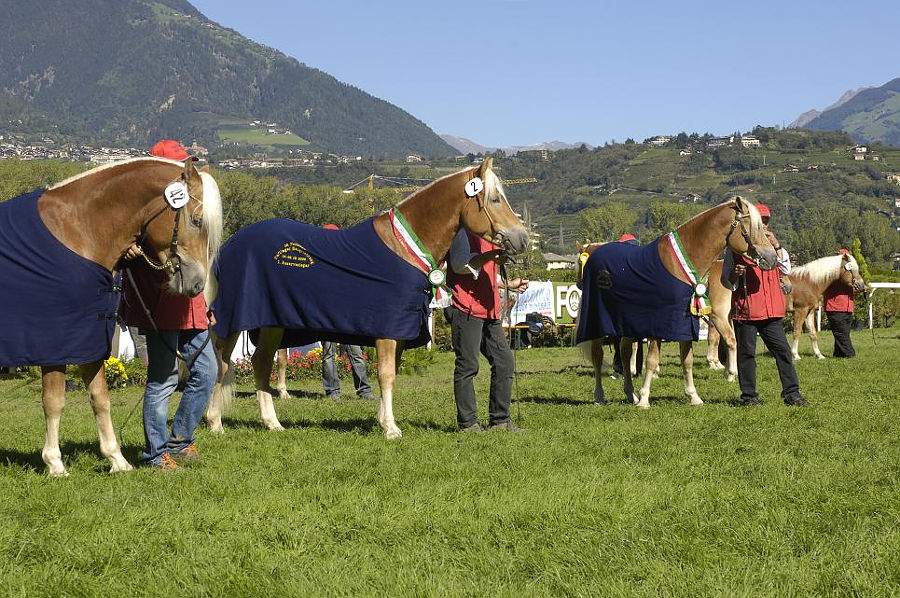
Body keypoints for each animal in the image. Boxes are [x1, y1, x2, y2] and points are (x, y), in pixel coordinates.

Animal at [0, 158, 223, 478]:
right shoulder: (55, 345)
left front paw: (116, 460)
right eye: (195, 220)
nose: (196, 285)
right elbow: (54, 402)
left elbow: (100, 398)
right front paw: (55, 463)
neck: (77, 230)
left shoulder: (90, 341)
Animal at [204, 158, 528, 440]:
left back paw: (272, 423)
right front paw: (391, 429)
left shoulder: (400, 333)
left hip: (272, 325)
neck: (402, 246)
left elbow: (391, 373)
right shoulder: (387, 331)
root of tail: (226, 248)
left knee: (260, 364)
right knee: (222, 366)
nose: (522, 238)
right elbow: (385, 375)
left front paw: (384, 421)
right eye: (495, 199)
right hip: (231, 325)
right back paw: (215, 423)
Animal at [580, 199, 776, 410]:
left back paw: (630, 394)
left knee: (624, 353)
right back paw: (599, 396)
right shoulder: (657, 324)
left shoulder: (685, 324)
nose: (772, 258)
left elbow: (687, 360)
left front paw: (694, 396)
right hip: (597, 323)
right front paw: (644, 399)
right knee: (598, 356)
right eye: (751, 228)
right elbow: (651, 361)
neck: (679, 265)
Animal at [708, 252, 868, 368]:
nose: (861, 285)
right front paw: (795, 355)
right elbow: (797, 332)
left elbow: (813, 334)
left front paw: (819, 355)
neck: (809, 282)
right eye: (851, 269)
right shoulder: (800, 311)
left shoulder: (810, 312)